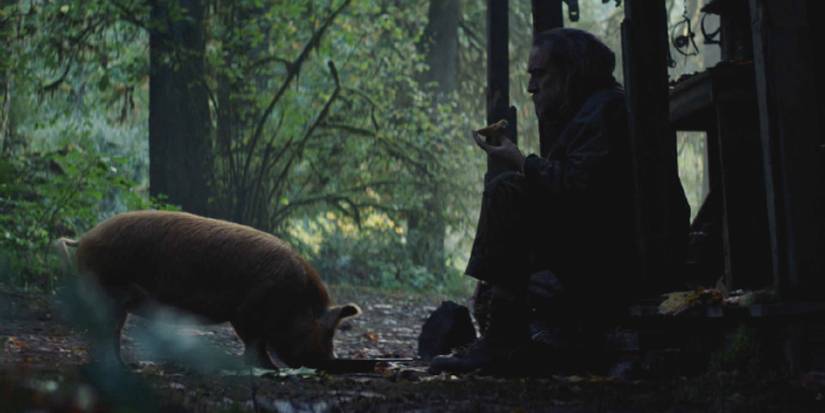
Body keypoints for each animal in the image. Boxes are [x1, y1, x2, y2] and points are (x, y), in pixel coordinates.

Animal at [59, 210, 360, 369]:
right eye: (326, 332)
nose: (331, 361)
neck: (294, 299)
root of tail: (84, 238)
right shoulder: (245, 311)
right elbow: (254, 341)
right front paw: (269, 369)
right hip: (105, 290)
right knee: (106, 331)